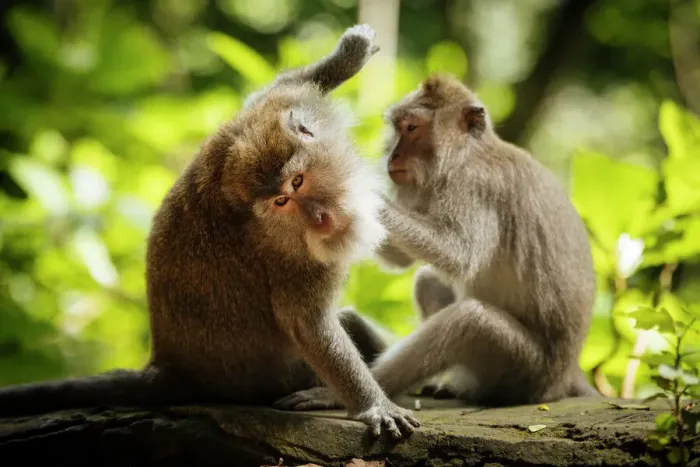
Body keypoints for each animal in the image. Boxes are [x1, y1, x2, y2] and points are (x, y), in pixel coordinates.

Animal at [0, 24, 419, 439]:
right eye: (281, 202)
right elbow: (309, 324)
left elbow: (268, 92)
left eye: (298, 181)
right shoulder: (289, 256)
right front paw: (372, 404)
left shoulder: (273, 110)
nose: (318, 219)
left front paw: (347, 57)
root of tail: (171, 366)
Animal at [274, 73, 600, 412]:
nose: (392, 155)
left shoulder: (475, 185)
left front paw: (361, 193)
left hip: (527, 370)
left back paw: (347, 393)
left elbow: (458, 255)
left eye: (412, 128)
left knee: (469, 322)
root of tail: (566, 376)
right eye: (398, 127)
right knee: (428, 282)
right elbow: (403, 259)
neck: (467, 155)